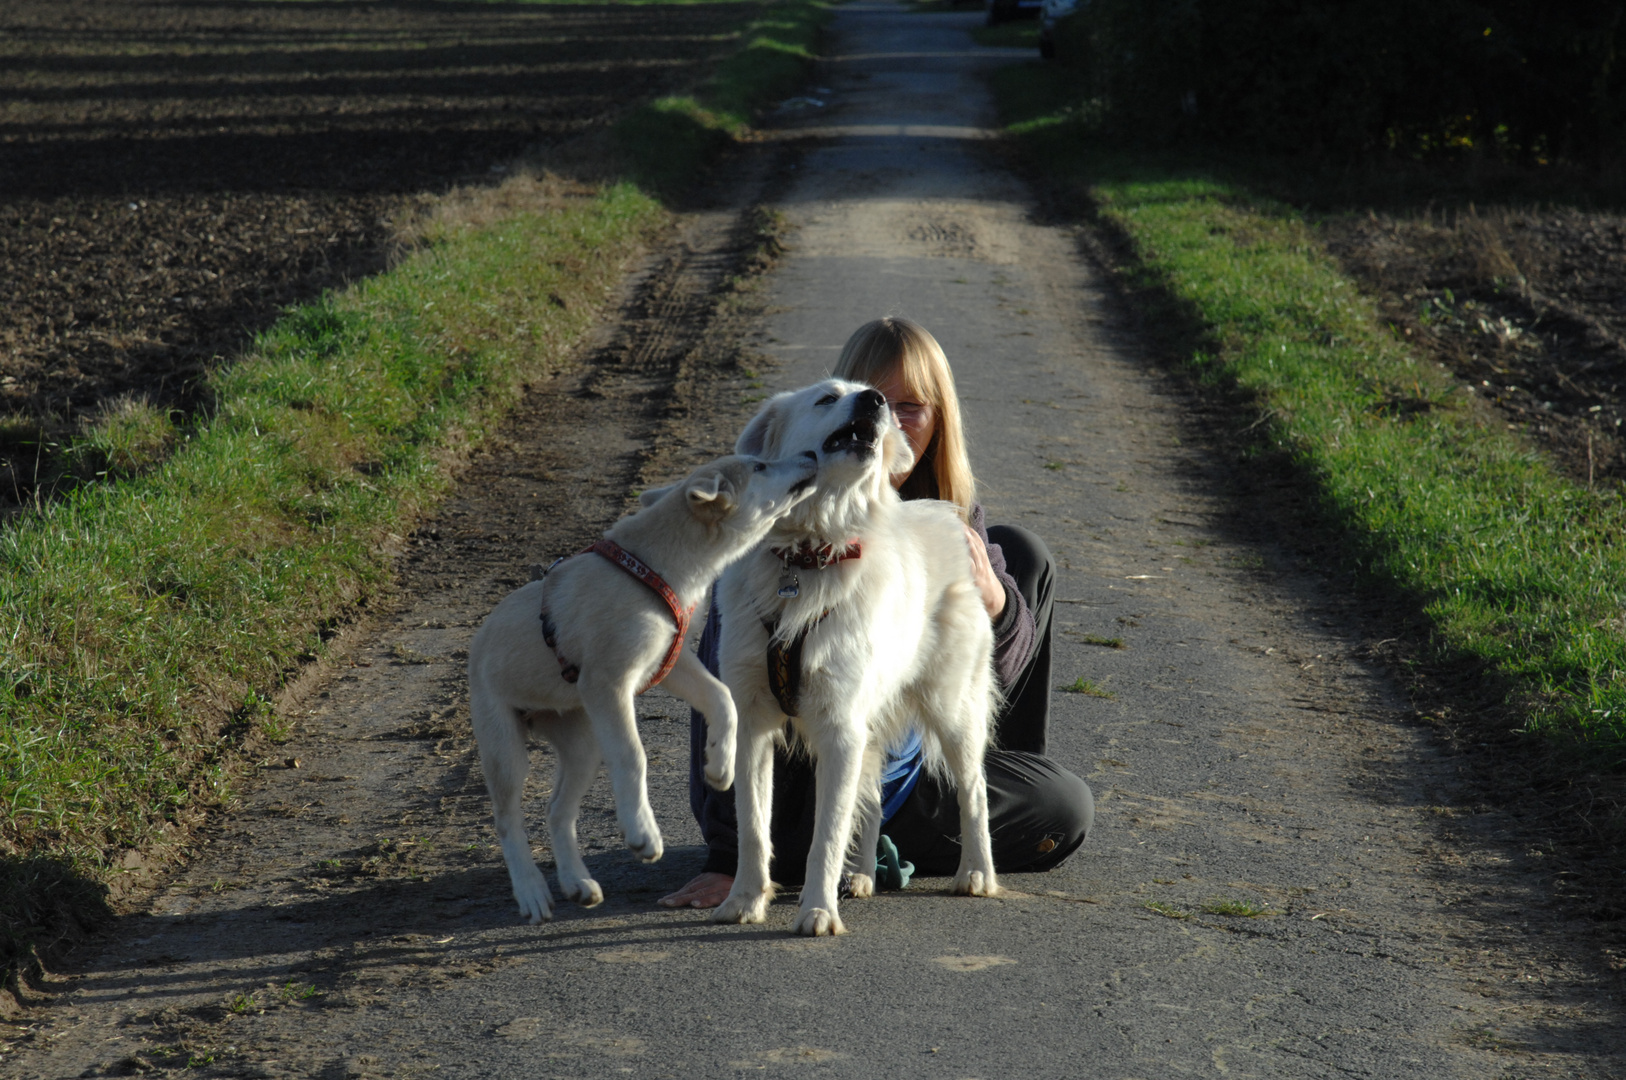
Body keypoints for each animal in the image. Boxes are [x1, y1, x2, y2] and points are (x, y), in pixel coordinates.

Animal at [468, 452, 813, 923]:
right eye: (760, 466)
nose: (811, 456)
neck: (658, 569)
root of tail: (478, 642)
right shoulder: (609, 683)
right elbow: (634, 756)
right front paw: (643, 835)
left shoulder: (670, 662)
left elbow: (722, 700)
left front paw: (719, 764)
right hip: (506, 747)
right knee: (506, 819)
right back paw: (531, 892)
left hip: (584, 744)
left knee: (557, 811)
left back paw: (577, 884)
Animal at [715, 382, 1001, 936]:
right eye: (827, 398)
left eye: (877, 400)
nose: (874, 399)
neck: (808, 556)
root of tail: (945, 517)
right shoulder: (753, 723)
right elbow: (754, 826)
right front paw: (745, 900)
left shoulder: (839, 728)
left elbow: (826, 833)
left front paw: (818, 911)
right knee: (872, 802)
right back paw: (866, 874)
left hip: (952, 710)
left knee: (973, 791)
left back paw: (976, 873)